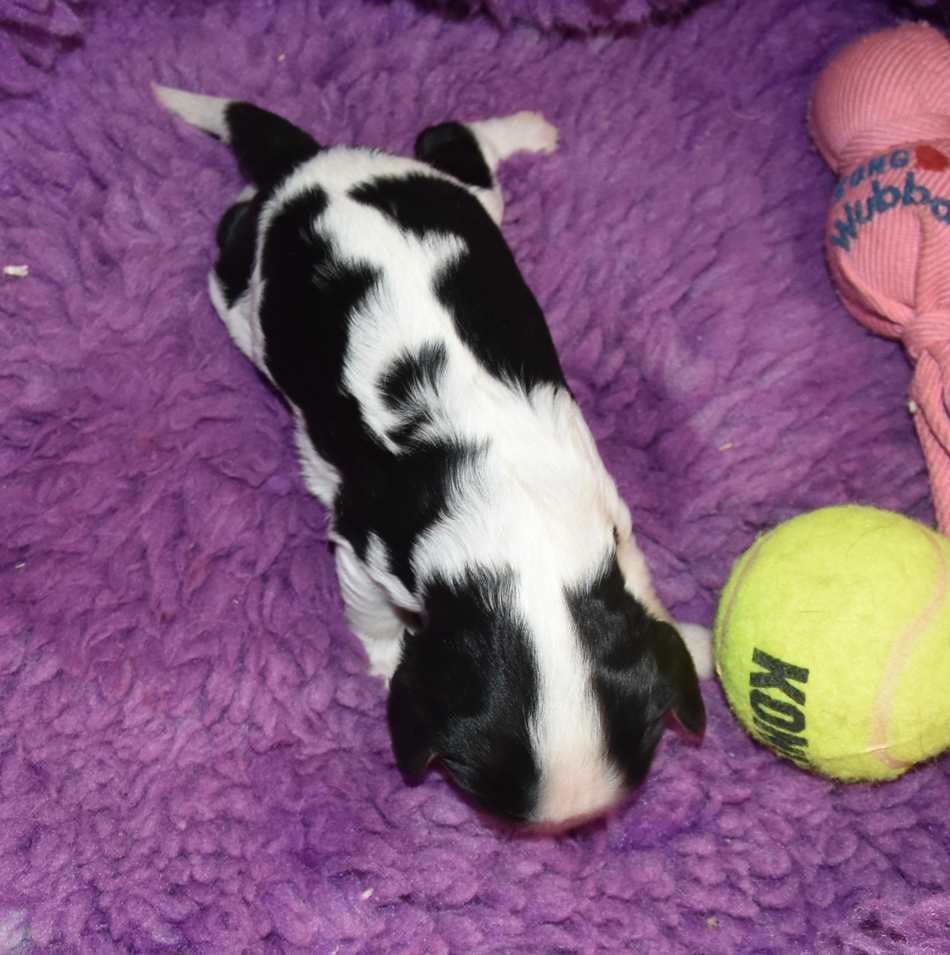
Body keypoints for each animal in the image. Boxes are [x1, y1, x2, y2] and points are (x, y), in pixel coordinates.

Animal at [155, 85, 712, 829]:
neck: (523, 552)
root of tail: (318, 166)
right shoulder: (361, 545)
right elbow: (372, 615)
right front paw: (383, 656)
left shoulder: (607, 521)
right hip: (246, 290)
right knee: (235, 238)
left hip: (462, 197)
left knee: (452, 139)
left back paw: (525, 129)